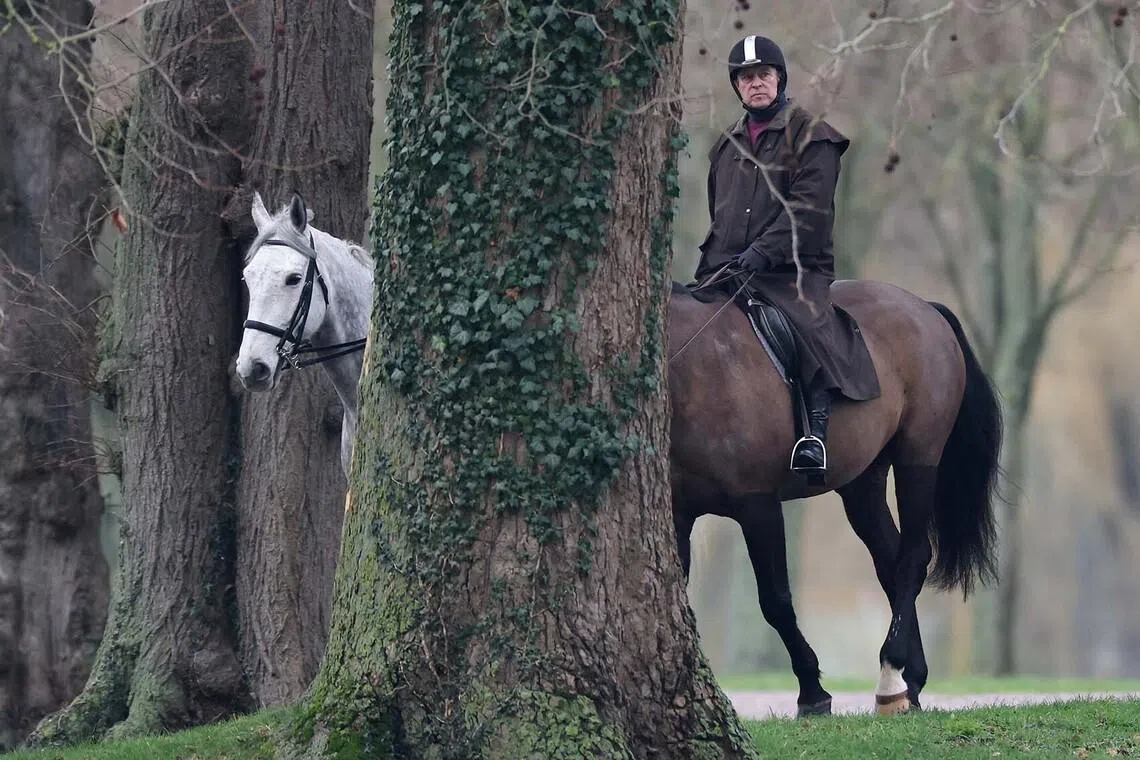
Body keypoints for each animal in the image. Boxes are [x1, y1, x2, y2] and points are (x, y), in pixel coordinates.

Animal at [668, 277, 1001, 716]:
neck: (696, 370)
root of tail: (924, 307)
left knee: (912, 559)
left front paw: (812, 692)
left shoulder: (758, 507)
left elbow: (775, 601)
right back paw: (911, 680)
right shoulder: (677, 514)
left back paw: (891, 676)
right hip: (862, 483)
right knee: (890, 563)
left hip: (918, 459)